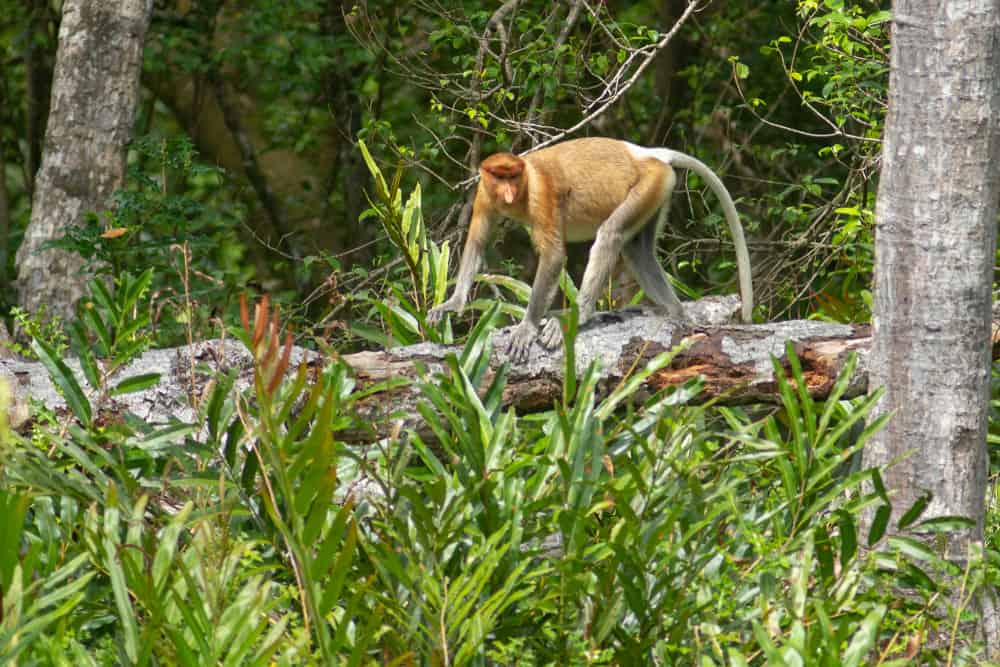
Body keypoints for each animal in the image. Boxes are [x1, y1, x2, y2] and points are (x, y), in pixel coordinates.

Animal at [427, 137, 753, 363]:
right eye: (499, 177)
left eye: (513, 177)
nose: (507, 193)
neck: (525, 180)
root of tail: (646, 153)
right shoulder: (484, 194)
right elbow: (477, 241)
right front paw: (452, 304)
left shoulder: (540, 194)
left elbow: (553, 256)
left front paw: (527, 328)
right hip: (658, 190)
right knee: (638, 251)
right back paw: (678, 314)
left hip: (651, 183)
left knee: (610, 235)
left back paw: (577, 315)